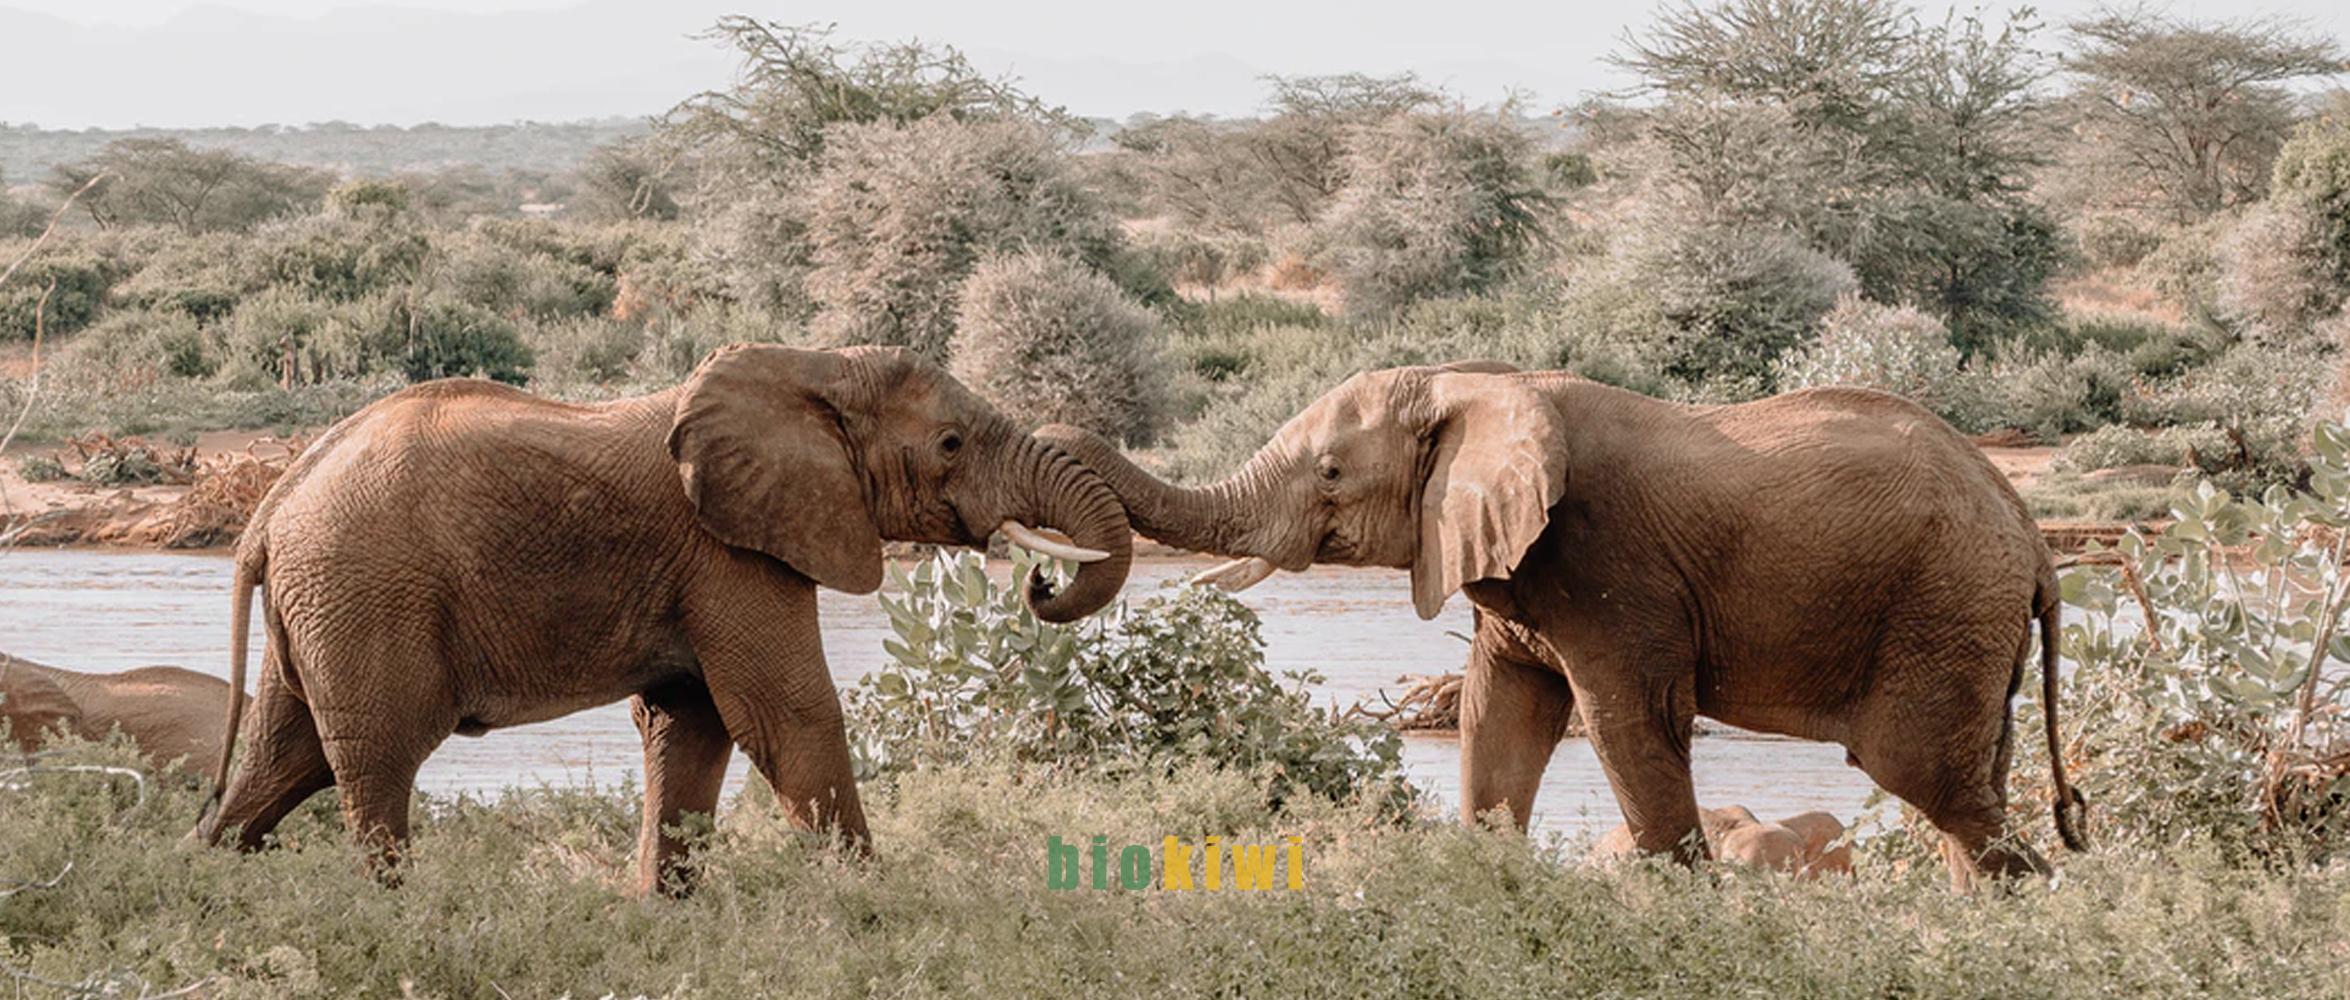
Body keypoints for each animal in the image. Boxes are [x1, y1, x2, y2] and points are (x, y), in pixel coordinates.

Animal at [191, 344, 1135, 894]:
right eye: (949, 445)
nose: (1039, 579)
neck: (810, 366)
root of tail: (269, 507)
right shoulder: (730, 551)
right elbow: (787, 715)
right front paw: (877, 907)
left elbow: (691, 723)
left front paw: (663, 911)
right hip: (367, 590)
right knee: (375, 757)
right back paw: (402, 910)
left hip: (324, 601)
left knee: (288, 756)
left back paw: (202, 880)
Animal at [1039, 363, 2087, 887]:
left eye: (1331, 473)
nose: (1044, 582)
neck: (1475, 380)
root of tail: (2034, 542)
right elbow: (1499, 718)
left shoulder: (1607, 569)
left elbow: (1627, 729)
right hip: (1968, 623)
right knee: (1965, 793)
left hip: (1944, 608)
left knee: (1931, 783)